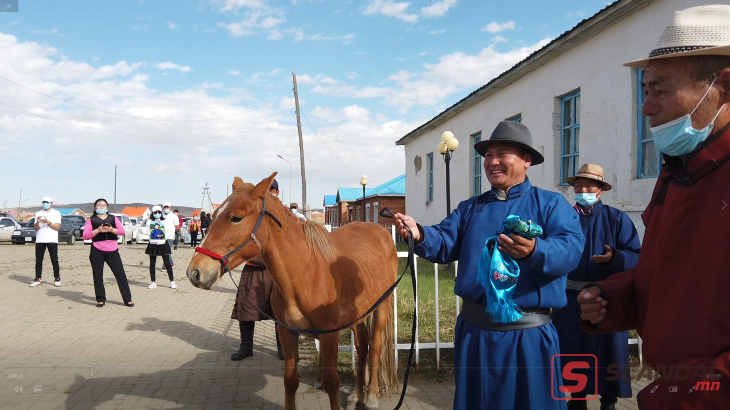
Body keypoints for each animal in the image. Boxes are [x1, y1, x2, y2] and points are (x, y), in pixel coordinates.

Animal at [185, 174, 396, 410]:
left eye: (236, 218)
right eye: (213, 216)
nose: (195, 272)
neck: (306, 272)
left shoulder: (329, 336)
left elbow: (331, 382)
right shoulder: (287, 332)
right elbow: (291, 380)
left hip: (382, 306)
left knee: (375, 345)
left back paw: (371, 397)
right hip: (358, 314)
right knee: (362, 345)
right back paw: (355, 395)